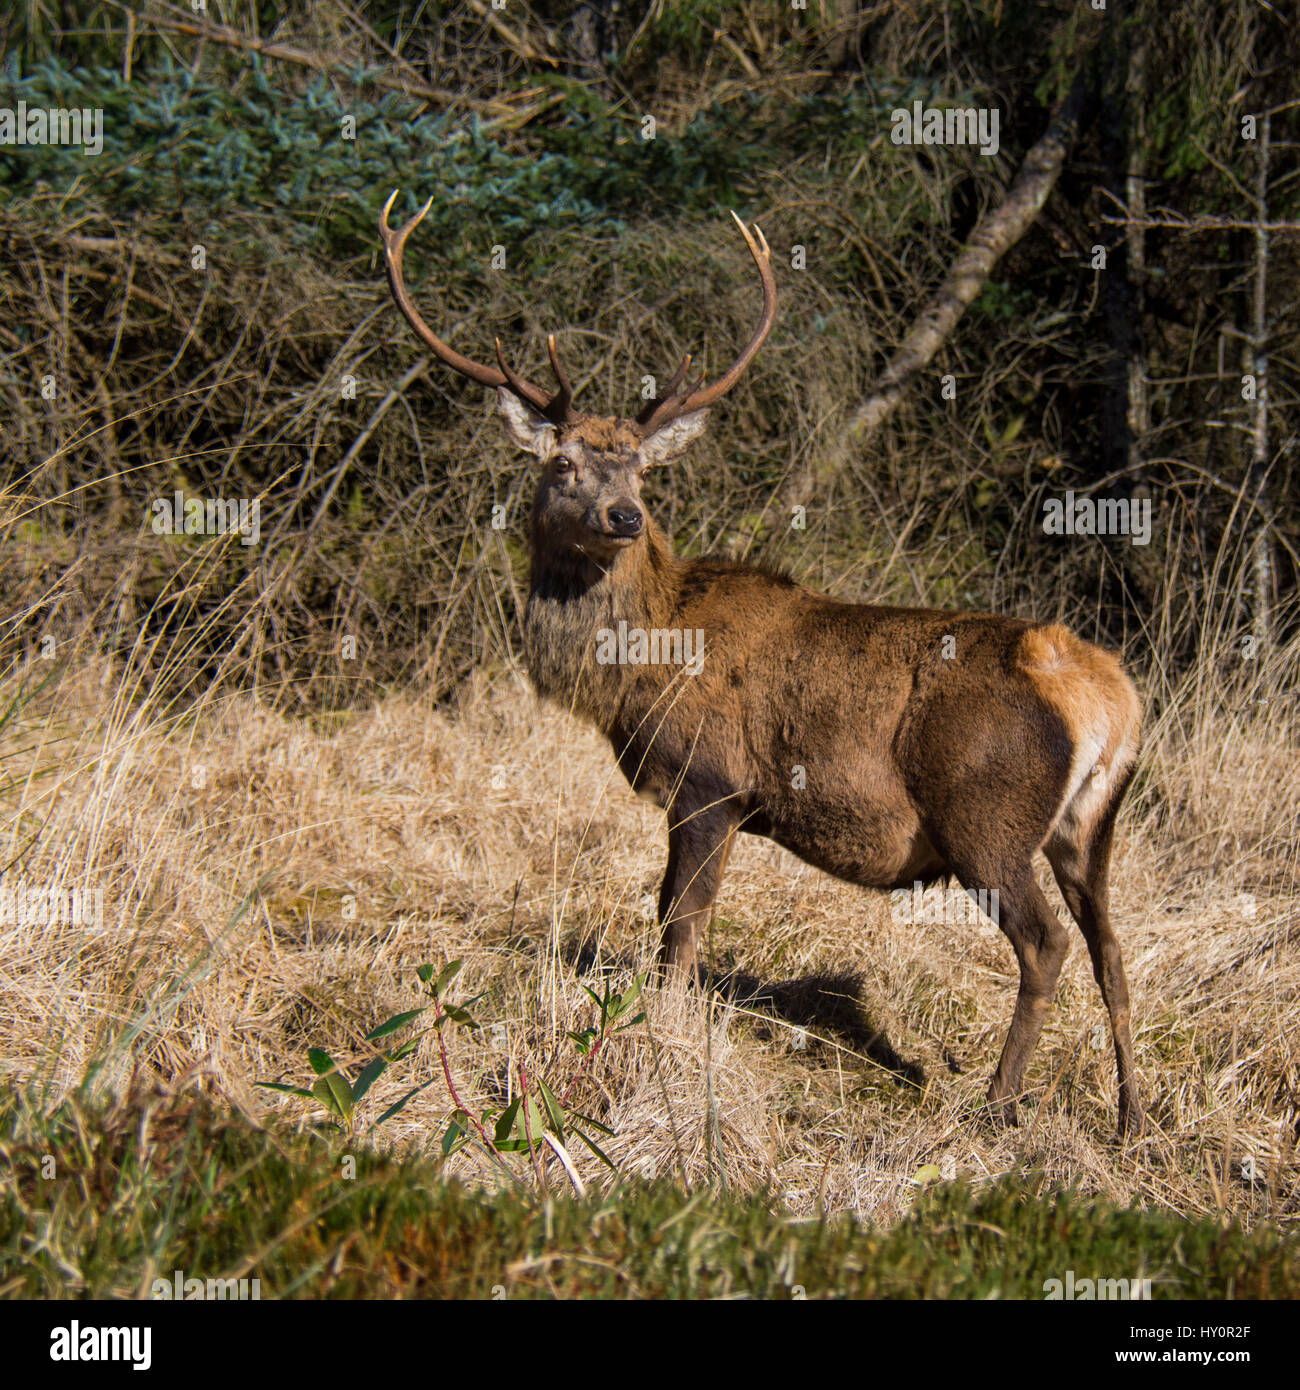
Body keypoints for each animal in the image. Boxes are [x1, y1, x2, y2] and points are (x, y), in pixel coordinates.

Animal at [379, 191, 1145, 1137]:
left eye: (639, 468)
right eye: (561, 463)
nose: (624, 515)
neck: (639, 662)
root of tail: (1111, 700)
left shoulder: (711, 782)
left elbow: (680, 924)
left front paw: (665, 1046)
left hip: (986, 819)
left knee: (1047, 943)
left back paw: (997, 1105)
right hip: (1090, 826)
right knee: (1113, 949)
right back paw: (1131, 1118)